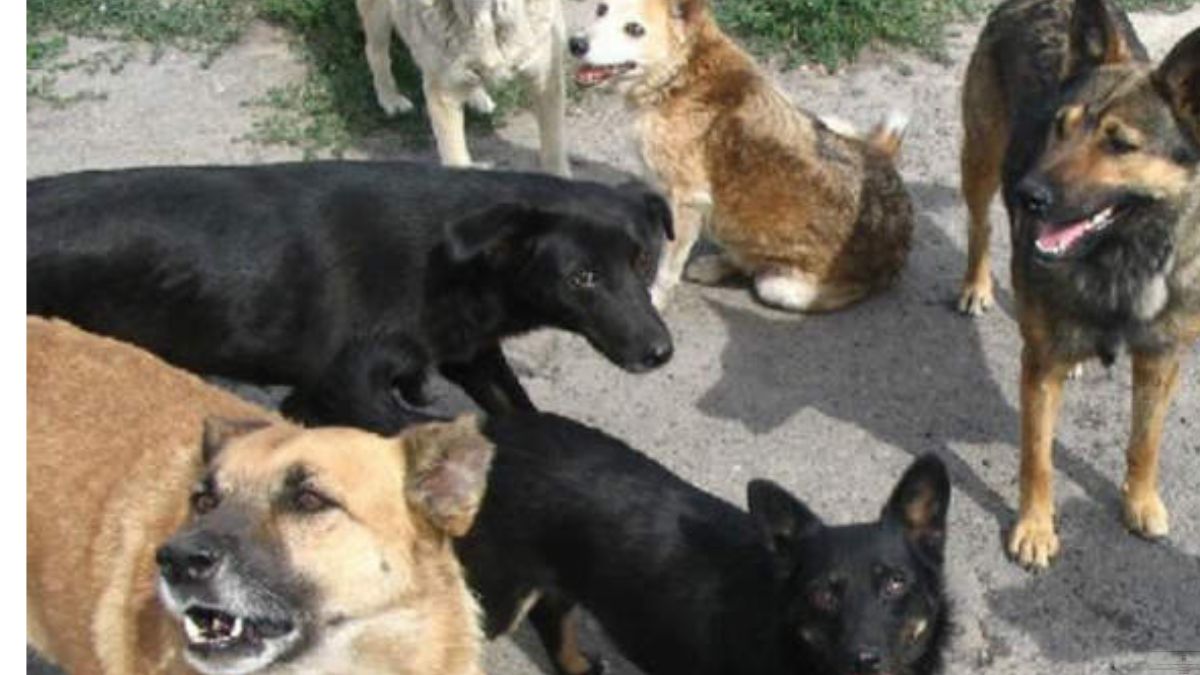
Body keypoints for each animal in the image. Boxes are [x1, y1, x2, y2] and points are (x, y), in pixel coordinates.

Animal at [27, 161, 674, 435]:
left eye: (643, 261)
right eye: (582, 278)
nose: (660, 352)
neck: (453, 261)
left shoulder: (467, 353)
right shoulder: (353, 385)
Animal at [356, 0, 570, 175]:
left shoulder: (546, 80)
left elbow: (554, 148)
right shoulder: (444, 93)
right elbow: (456, 158)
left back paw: (478, 98)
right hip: (378, 15)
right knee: (376, 52)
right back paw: (390, 99)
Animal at [568, 0, 914, 312]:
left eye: (635, 29)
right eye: (601, 9)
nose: (575, 44)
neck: (680, 75)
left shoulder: (687, 202)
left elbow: (666, 268)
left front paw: (655, 301)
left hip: (779, 287)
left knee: (756, 269)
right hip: (826, 122)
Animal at [956, 0, 1200, 567]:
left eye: (1120, 144)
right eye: (1058, 128)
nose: (1027, 196)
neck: (1121, 257)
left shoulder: (1160, 360)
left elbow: (1145, 441)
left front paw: (1140, 500)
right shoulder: (1040, 369)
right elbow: (1037, 457)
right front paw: (1035, 527)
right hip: (979, 158)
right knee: (979, 226)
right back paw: (977, 285)